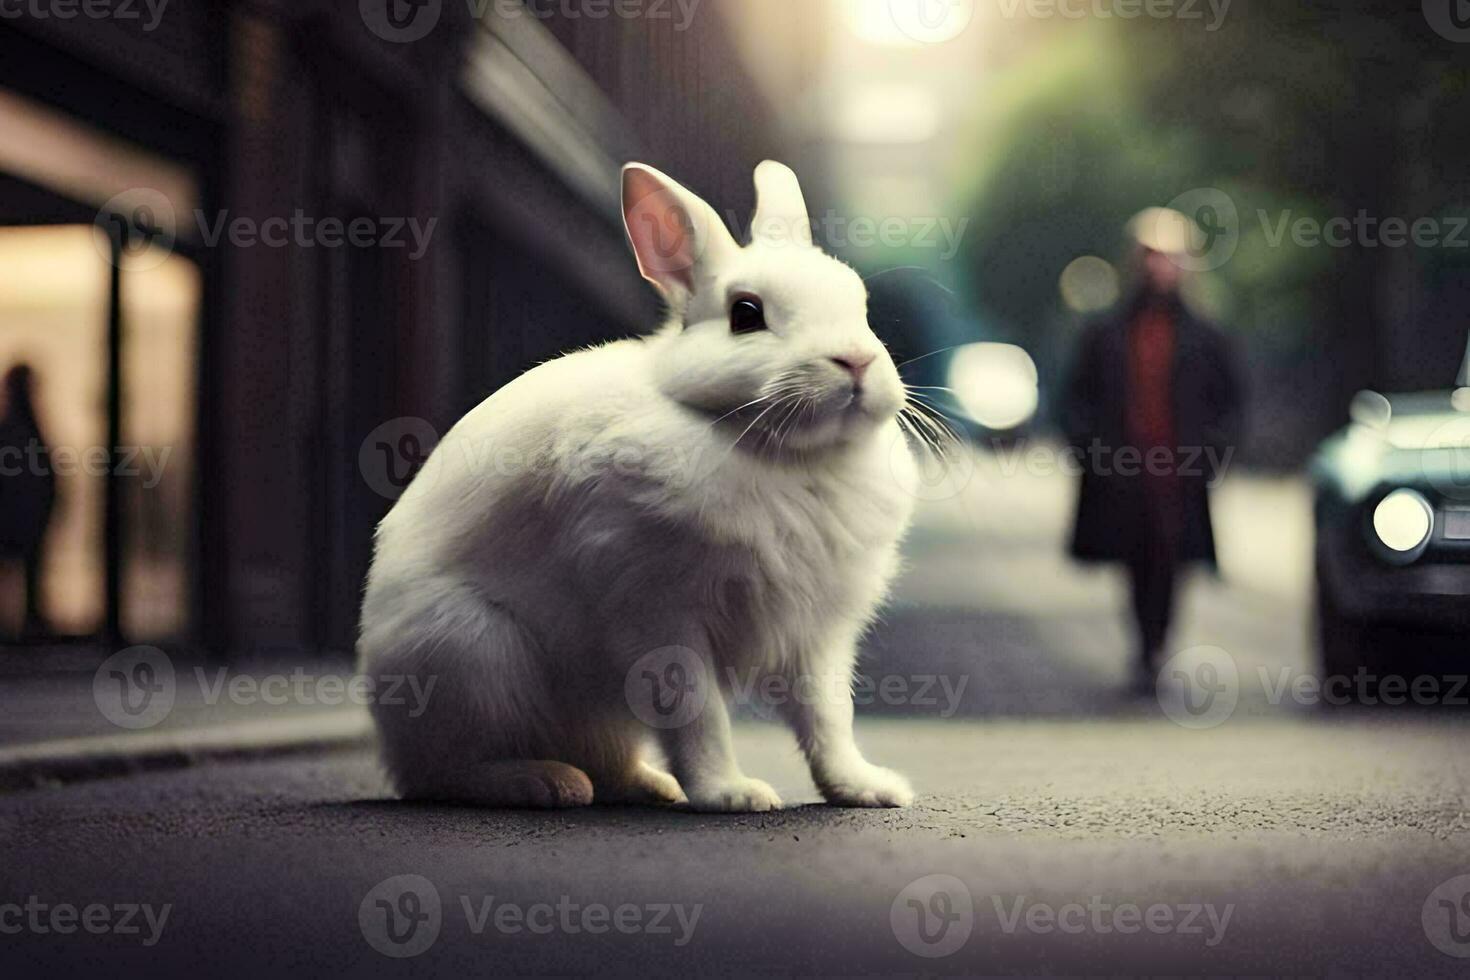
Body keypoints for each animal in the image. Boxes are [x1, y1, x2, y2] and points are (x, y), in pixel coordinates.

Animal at [355, 159, 917, 811]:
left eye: (860, 304)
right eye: (746, 314)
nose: (856, 361)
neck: (785, 455)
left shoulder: (818, 635)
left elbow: (828, 719)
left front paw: (868, 789)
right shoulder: (658, 611)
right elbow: (695, 711)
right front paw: (731, 795)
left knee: (604, 761)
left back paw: (651, 786)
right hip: (472, 654)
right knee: (446, 774)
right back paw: (544, 783)